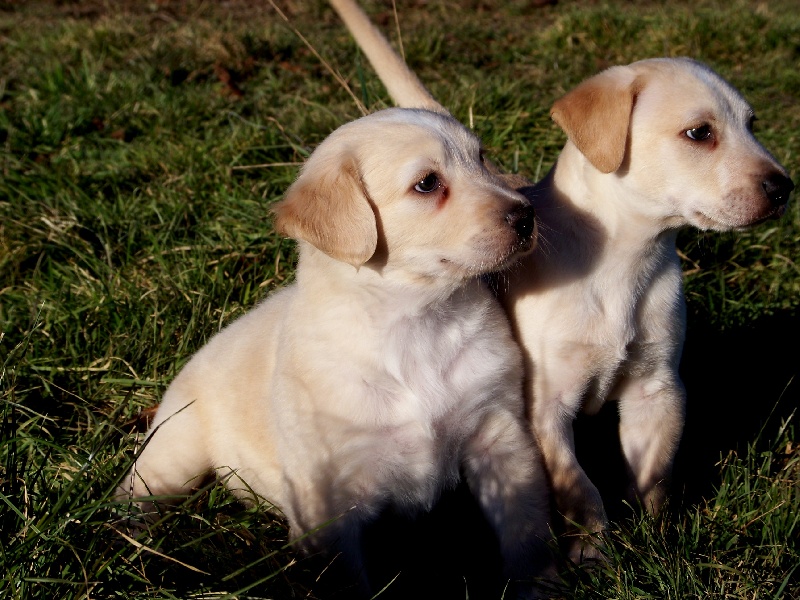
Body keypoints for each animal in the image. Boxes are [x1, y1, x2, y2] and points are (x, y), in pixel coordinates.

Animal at [119, 106, 556, 596]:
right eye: (427, 183)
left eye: (481, 159)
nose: (527, 215)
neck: (417, 323)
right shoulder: (329, 499)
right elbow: (347, 582)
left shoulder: (500, 433)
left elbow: (525, 528)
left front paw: (540, 586)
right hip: (176, 449)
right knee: (139, 487)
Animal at [326, 0, 792, 564]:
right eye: (700, 133)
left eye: (752, 125)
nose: (785, 188)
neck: (625, 265)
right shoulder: (546, 408)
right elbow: (580, 490)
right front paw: (593, 555)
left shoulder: (658, 391)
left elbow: (653, 477)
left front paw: (656, 544)